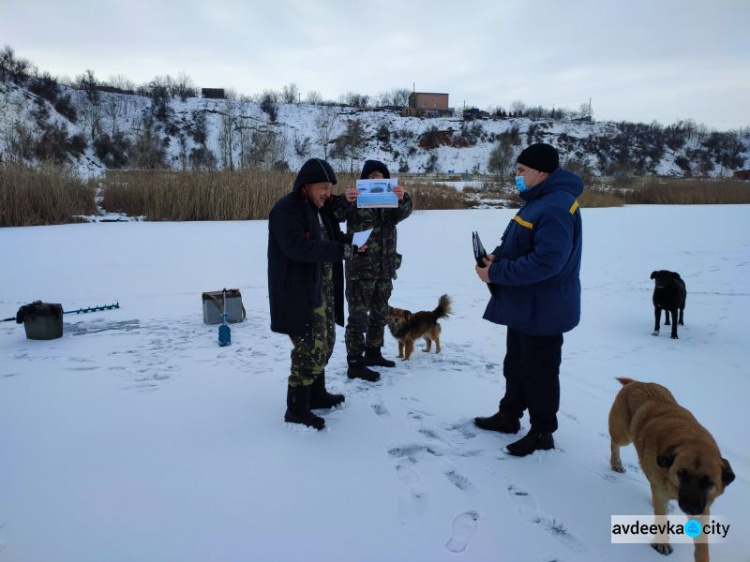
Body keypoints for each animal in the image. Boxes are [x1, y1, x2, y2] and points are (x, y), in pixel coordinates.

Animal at [608, 376, 736, 560]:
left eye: (708, 482)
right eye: (681, 474)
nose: (691, 509)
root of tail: (639, 382)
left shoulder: (704, 505)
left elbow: (702, 544)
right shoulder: (662, 493)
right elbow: (661, 517)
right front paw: (662, 543)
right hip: (623, 435)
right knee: (614, 443)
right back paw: (616, 463)